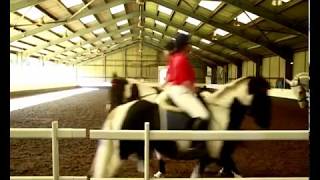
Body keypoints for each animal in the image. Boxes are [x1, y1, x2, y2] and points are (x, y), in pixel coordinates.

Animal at [90, 75, 272, 177]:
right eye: (262, 95)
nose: (266, 122)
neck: (223, 111)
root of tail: (121, 110)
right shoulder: (218, 154)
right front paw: (159, 171)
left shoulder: (213, 155)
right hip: (121, 152)